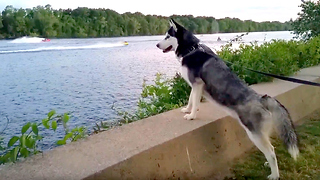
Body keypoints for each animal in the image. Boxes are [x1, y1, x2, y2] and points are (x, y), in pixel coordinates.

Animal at [156, 18, 298, 180]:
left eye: (167, 36)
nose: (157, 45)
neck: (191, 49)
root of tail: (261, 99)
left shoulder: (197, 84)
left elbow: (195, 102)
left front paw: (191, 116)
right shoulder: (194, 86)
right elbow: (191, 100)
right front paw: (187, 110)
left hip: (254, 134)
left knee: (271, 152)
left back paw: (274, 175)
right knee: (271, 149)